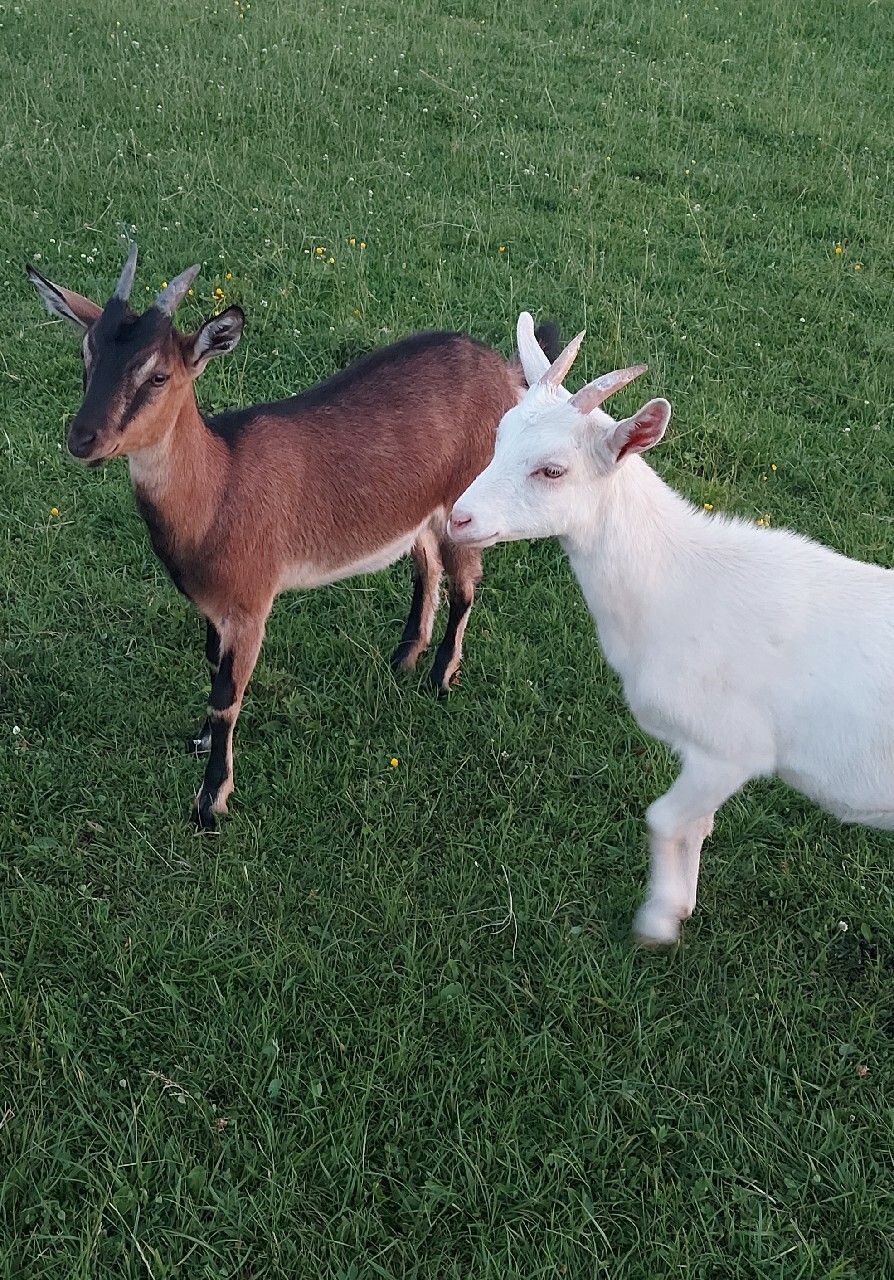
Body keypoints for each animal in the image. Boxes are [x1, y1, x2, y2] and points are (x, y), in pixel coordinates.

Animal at [27, 247, 559, 829]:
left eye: (159, 375)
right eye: (87, 354)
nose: (83, 438)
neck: (218, 483)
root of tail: (500, 370)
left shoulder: (250, 604)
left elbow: (227, 698)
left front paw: (210, 802)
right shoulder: (214, 605)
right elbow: (212, 668)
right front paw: (199, 741)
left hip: (463, 501)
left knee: (465, 583)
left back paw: (439, 678)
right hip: (419, 513)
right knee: (427, 568)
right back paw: (402, 659)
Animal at [448, 313, 894, 944]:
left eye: (553, 469)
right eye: (499, 437)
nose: (459, 518)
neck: (679, 581)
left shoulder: (732, 748)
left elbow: (664, 817)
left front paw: (658, 922)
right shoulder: (702, 756)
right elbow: (694, 824)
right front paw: (681, 903)